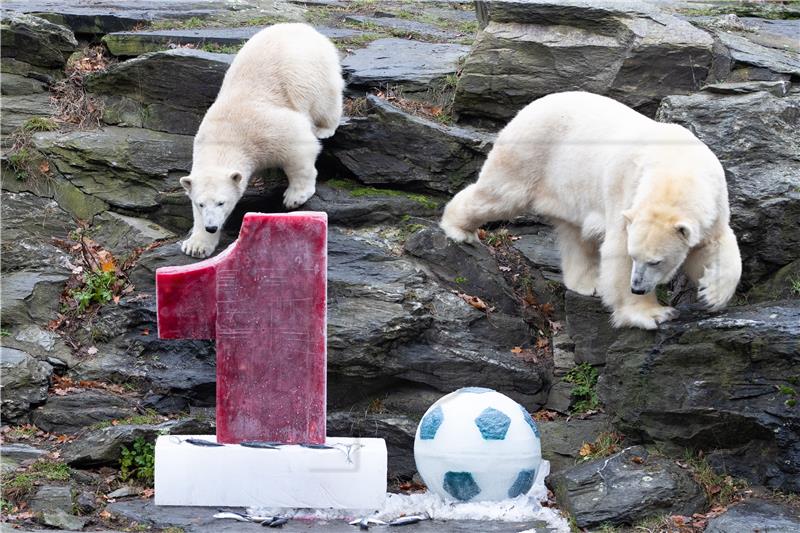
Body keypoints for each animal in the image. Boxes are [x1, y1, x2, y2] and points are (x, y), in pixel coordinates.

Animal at [180, 23, 342, 258]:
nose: (211, 226)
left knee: (324, 99)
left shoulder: (266, 129)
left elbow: (298, 146)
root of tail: (303, 27)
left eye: (221, 202)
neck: (225, 138)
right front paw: (196, 245)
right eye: (201, 204)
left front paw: (294, 197)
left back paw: (325, 128)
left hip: (310, 70)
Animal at [440, 91, 740, 328]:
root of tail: (527, 108)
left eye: (656, 261)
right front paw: (652, 313)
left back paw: (588, 283)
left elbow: (717, 245)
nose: (638, 288)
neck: (676, 167)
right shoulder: (626, 191)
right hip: (530, 154)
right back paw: (459, 229)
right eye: (636, 256)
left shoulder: (714, 200)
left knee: (575, 234)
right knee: (501, 195)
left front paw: (712, 294)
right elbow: (617, 251)